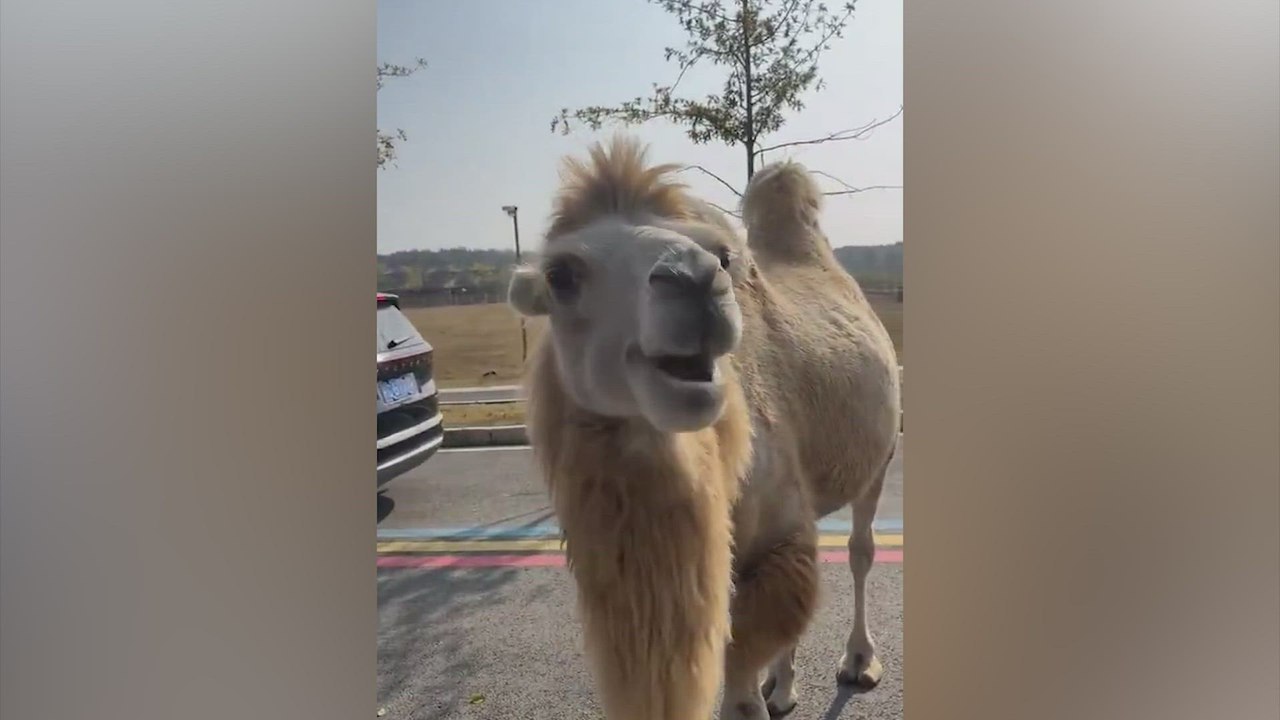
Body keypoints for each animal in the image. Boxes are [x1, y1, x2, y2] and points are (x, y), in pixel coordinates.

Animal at [507, 136, 901, 720]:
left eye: (722, 255)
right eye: (560, 275)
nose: (695, 281)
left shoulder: (776, 533)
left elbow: (741, 680)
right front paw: (776, 687)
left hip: (881, 457)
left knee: (859, 551)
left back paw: (857, 661)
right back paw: (783, 687)